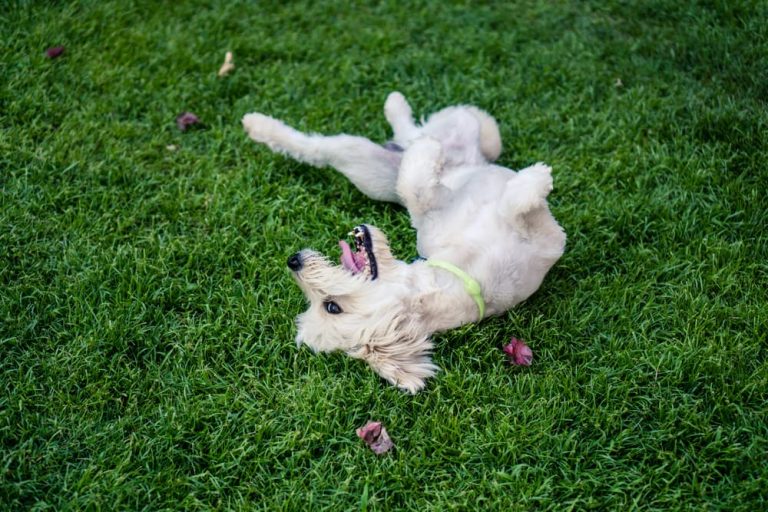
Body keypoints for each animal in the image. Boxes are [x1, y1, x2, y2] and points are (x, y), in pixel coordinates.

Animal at [243, 91, 568, 392]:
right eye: (330, 306)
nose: (293, 261)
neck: (457, 276)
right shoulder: (550, 237)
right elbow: (421, 191)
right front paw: (536, 180)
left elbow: (417, 188)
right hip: (368, 171)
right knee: (321, 148)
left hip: (383, 161)